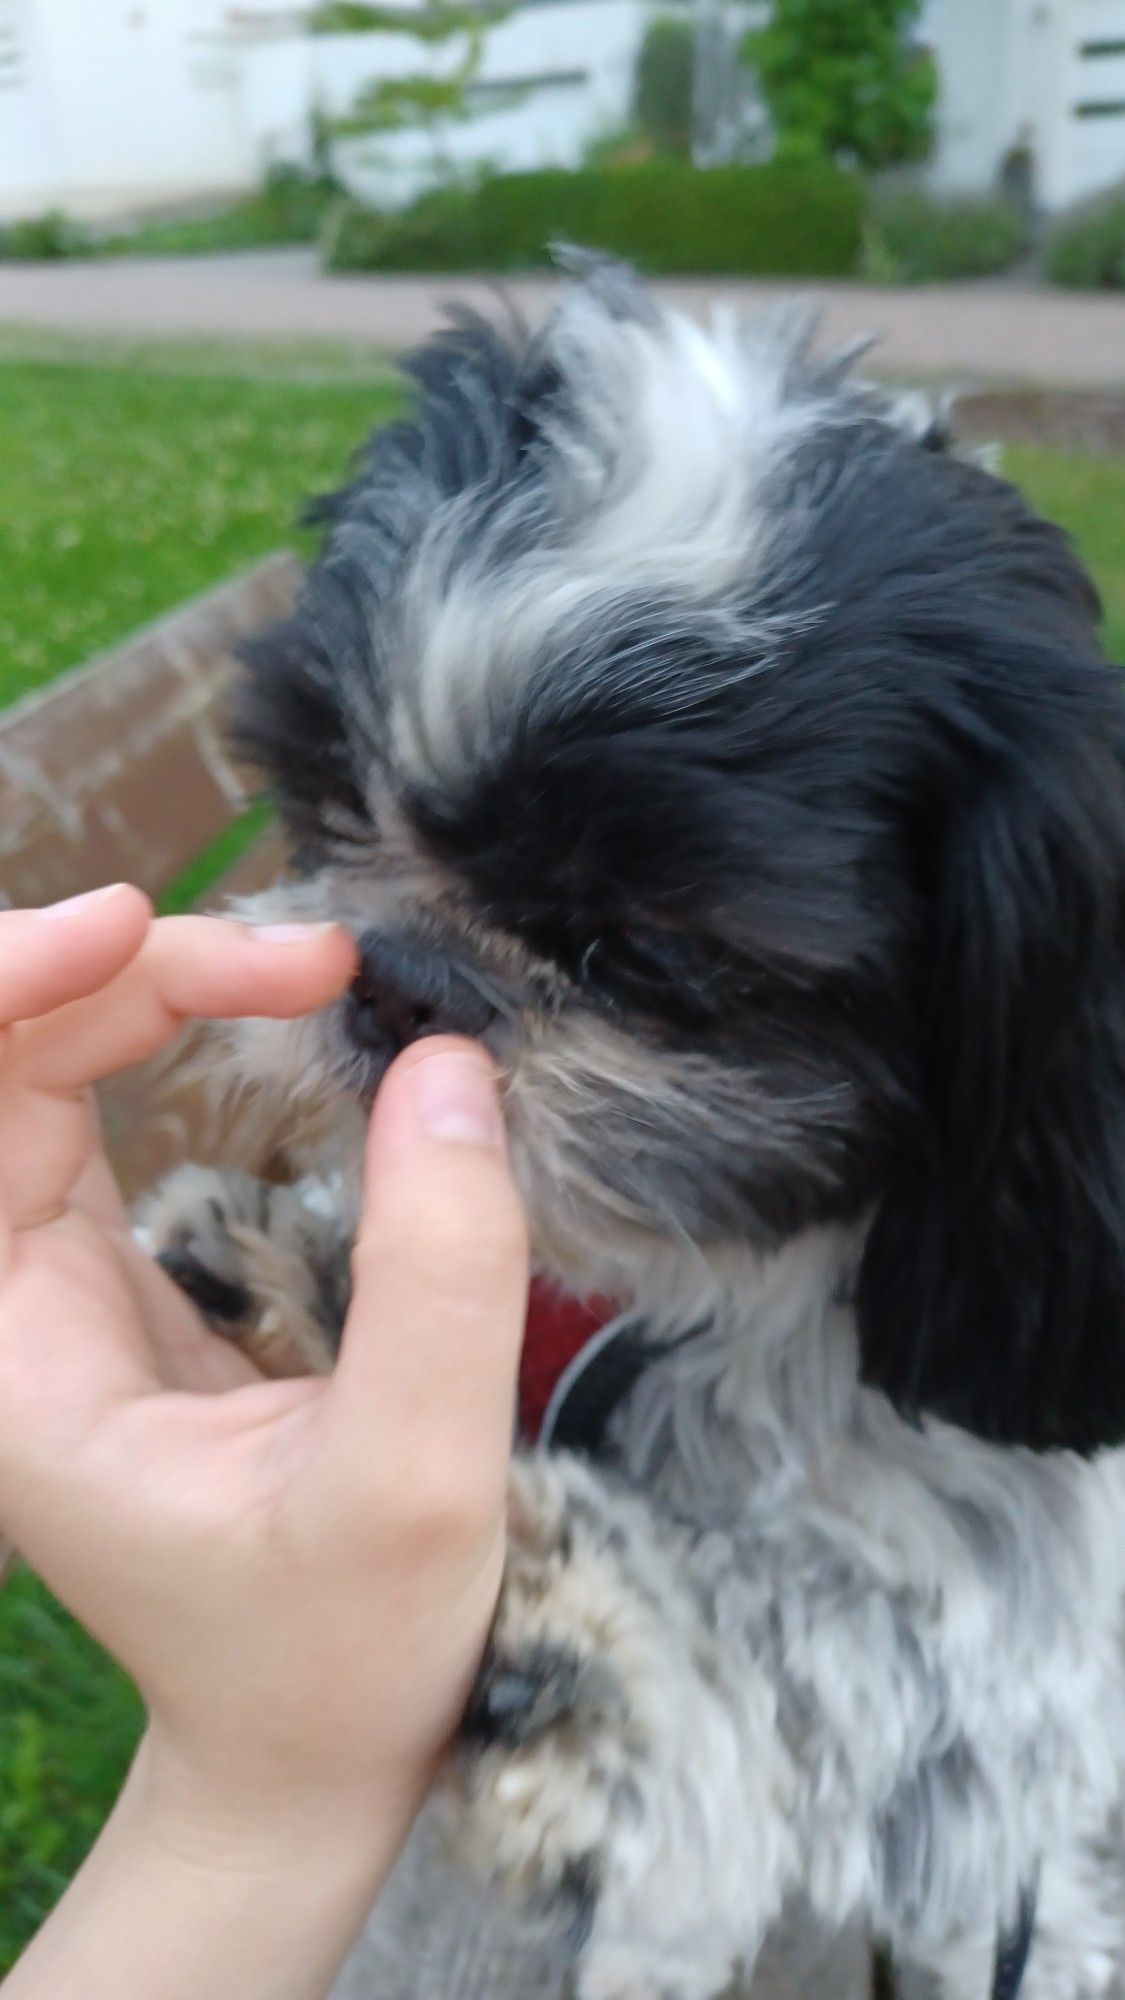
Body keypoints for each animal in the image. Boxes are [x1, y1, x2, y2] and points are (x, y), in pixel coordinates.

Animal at [142, 266, 1125, 2000]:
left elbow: (851, 1663)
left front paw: (604, 1654)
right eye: (334, 795)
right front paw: (310, 1283)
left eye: (651, 950)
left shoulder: (1001, 1720)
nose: (403, 978)